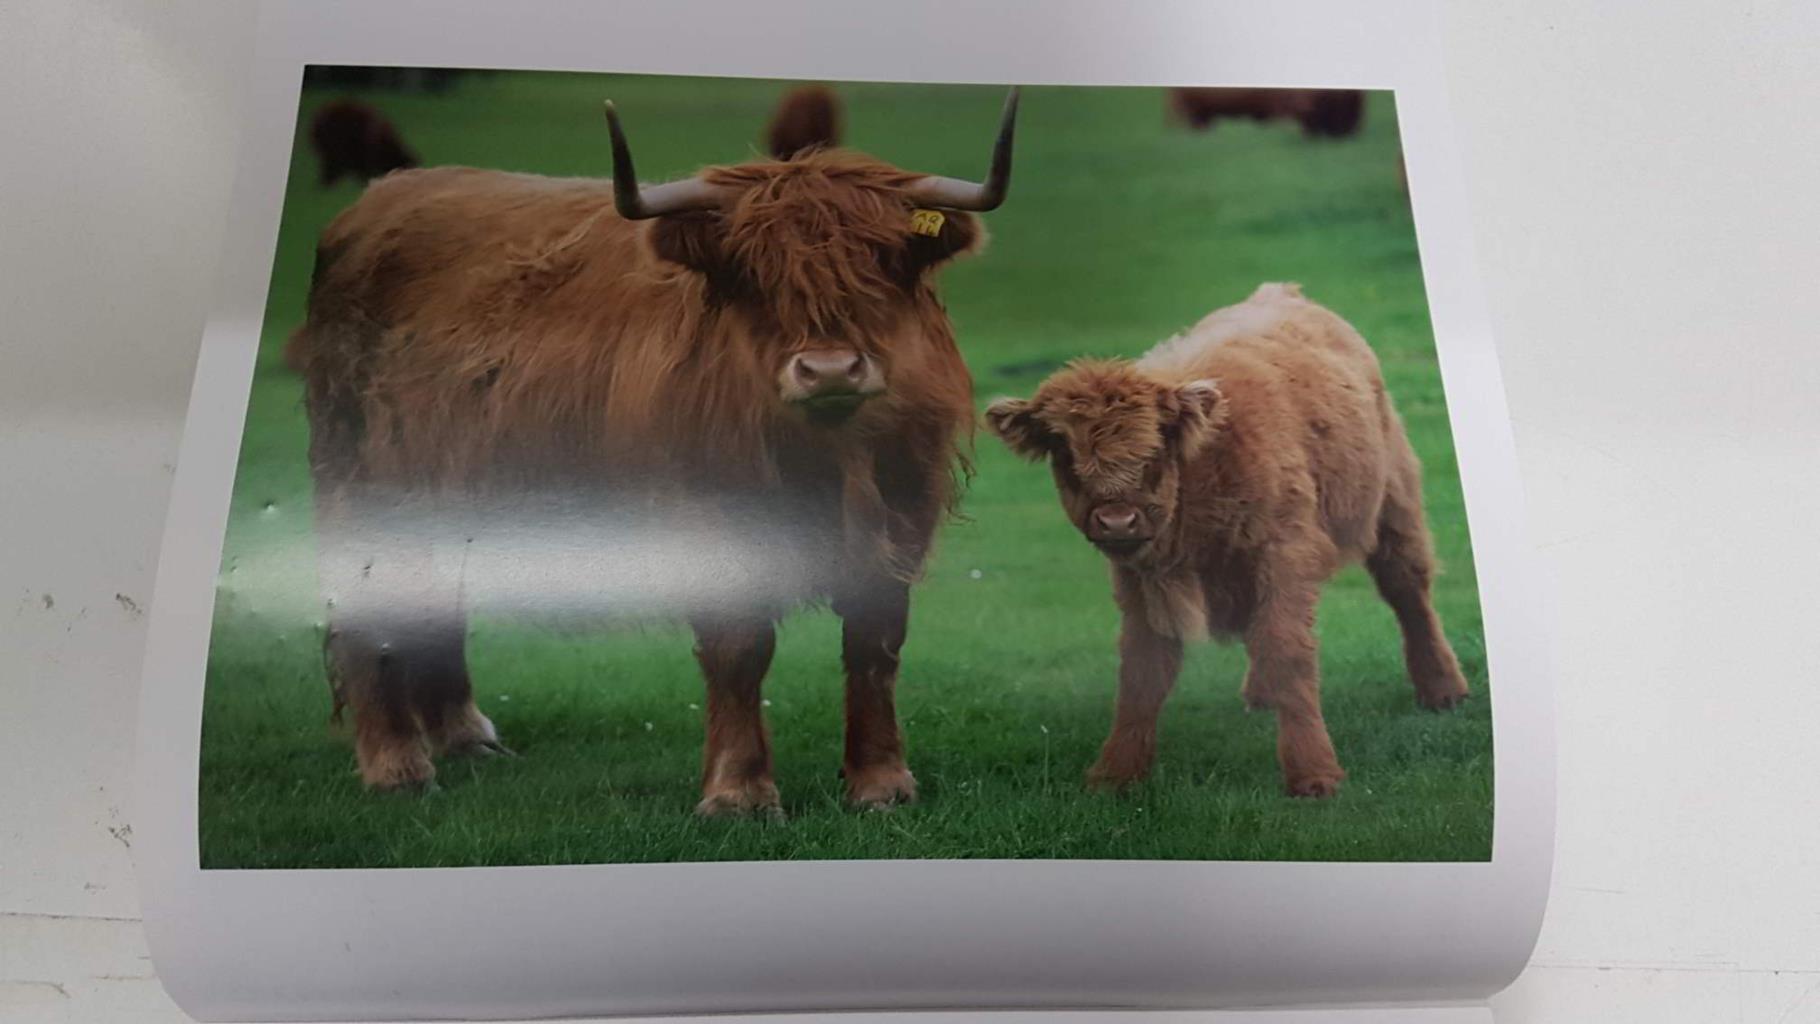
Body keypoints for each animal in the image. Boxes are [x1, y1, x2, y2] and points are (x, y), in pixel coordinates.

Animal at [287, 89, 1020, 814]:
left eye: (882, 263)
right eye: (754, 273)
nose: (831, 370)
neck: (826, 457)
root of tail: (373, 205)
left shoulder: (901, 513)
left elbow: (874, 643)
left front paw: (880, 782)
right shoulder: (715, 522)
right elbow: (739, 647)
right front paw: (739, 792)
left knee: (436, 596)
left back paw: (464, 736)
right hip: (363, 483)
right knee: (372, 606)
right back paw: (397, 764)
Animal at [984, 283, 1468, 798]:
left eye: (1156, 447)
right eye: (1063, 451)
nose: (1117, 520)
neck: (1202, 469)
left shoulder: (1285, 554)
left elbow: (1288, 650)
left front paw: (1314, 773)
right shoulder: (1142, 581)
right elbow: (1142, 668)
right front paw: (1115, 773)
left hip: (1394, 503)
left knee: (1408, 592)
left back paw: (1443, 689)